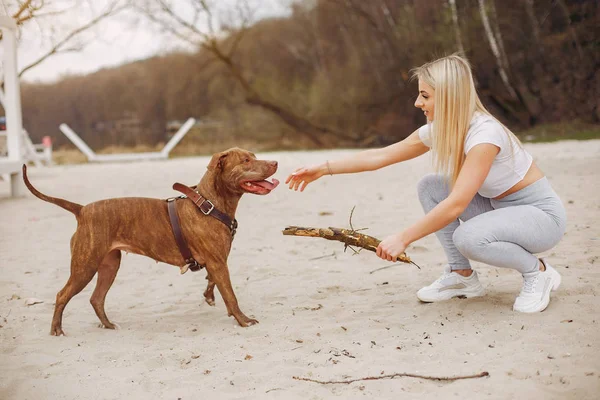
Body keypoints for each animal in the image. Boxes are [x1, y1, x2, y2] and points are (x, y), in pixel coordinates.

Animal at [21, 147, 278, 334]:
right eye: (246, 160)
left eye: (254, 156)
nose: (275, 163)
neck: (210, 204)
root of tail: (82, 210)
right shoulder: (218, 262)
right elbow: (231, 296)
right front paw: (243, 320)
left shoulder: (217, 261)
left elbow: (213, 283)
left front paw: (209, 297)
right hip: (85, 267)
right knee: (62, 295)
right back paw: (57, 330)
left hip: (109, 265)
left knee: (96, 298)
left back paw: (108, 325)